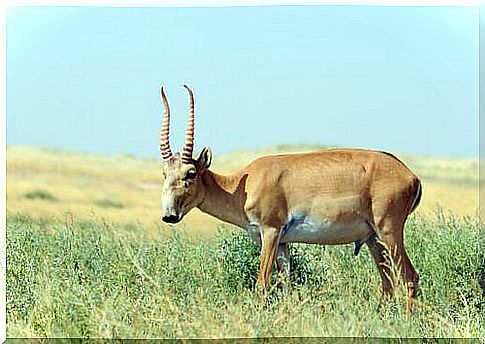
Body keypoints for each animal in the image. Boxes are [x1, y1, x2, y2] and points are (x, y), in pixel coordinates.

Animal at [158, 86, 420, 312]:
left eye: (190, 173)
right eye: (164, 173)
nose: (169, 215)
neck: (244, 184)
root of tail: (411, 175)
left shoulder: (270, 232)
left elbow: (262, 283)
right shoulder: (283, 243)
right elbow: (286, 285)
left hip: (389, 231)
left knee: (409, 277)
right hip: (373, 239)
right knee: (388, 283)